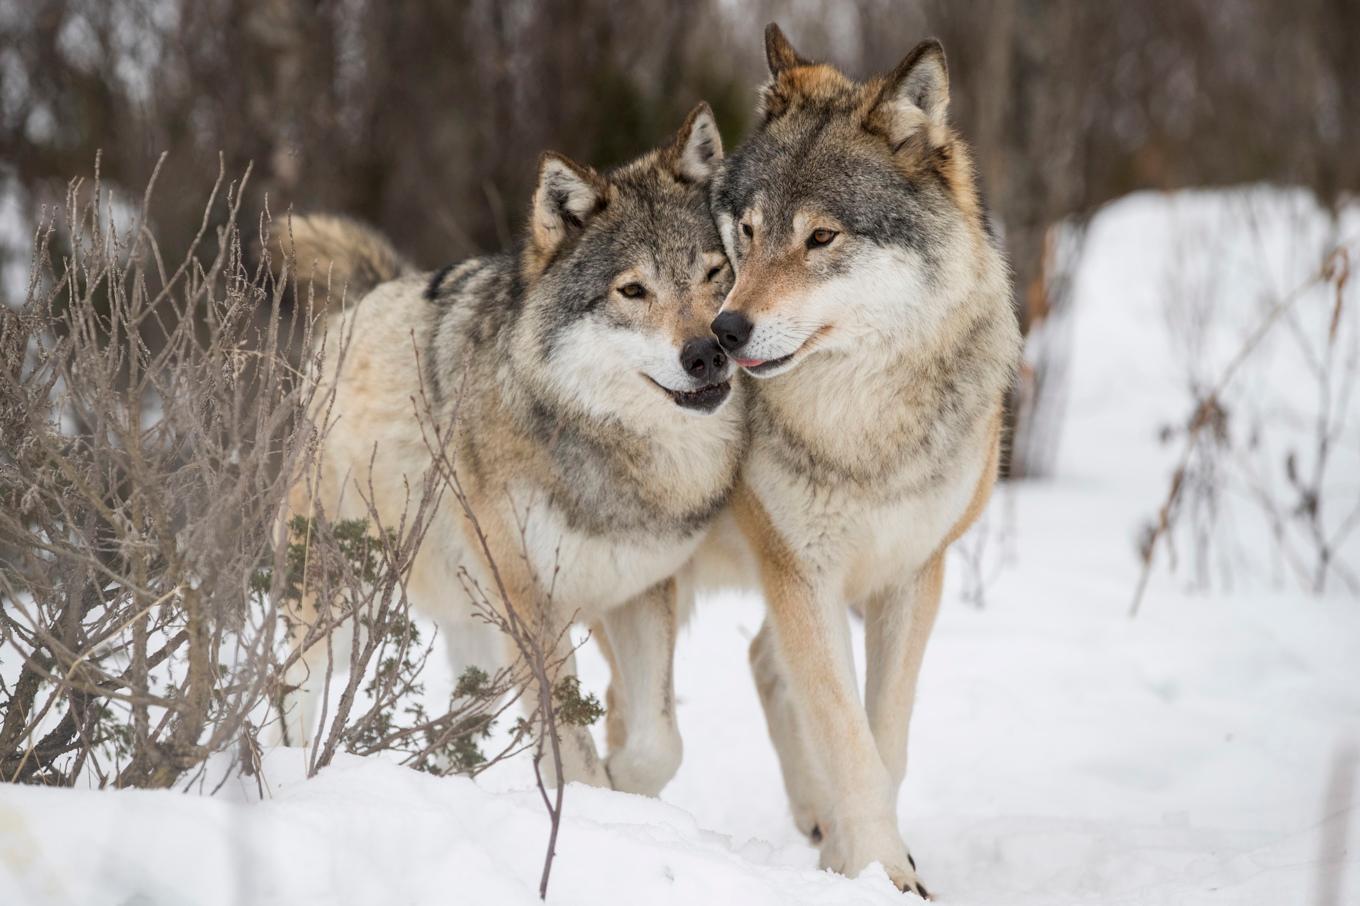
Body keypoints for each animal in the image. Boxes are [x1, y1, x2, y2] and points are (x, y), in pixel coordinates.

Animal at [274, 102, 745, 794]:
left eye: (716, 274)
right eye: (633, 291)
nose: (707, 353)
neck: (612, 449)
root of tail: (358, 303)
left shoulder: (640, 591)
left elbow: (659, 743)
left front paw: (627, 789)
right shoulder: (532, 608)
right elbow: (572, 752)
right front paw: (596, 801)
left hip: (480, 641)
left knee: (455, 723)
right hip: (342, 603)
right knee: (287, 688)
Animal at [707, 24, 1017, 892]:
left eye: (821, 238)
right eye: (749, 231)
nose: (724, 332)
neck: (861, 427)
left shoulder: (912, 575)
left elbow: (886, 740)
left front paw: (871, 865)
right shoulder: (801, 573)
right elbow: (852, 745)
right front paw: (881, 871)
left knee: (762, 660)